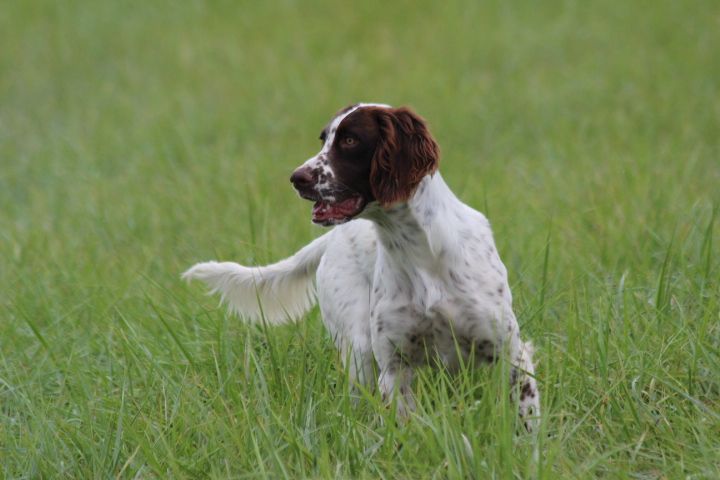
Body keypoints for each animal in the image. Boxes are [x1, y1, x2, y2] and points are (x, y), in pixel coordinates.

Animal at [186, 102, 540, 432]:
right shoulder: (395, 368)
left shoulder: (511, 355)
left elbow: (525, 422)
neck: (423, 253)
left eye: (350, 140)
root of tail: (331, 239)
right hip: (358, 349)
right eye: (324, 139)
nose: (296, 177)